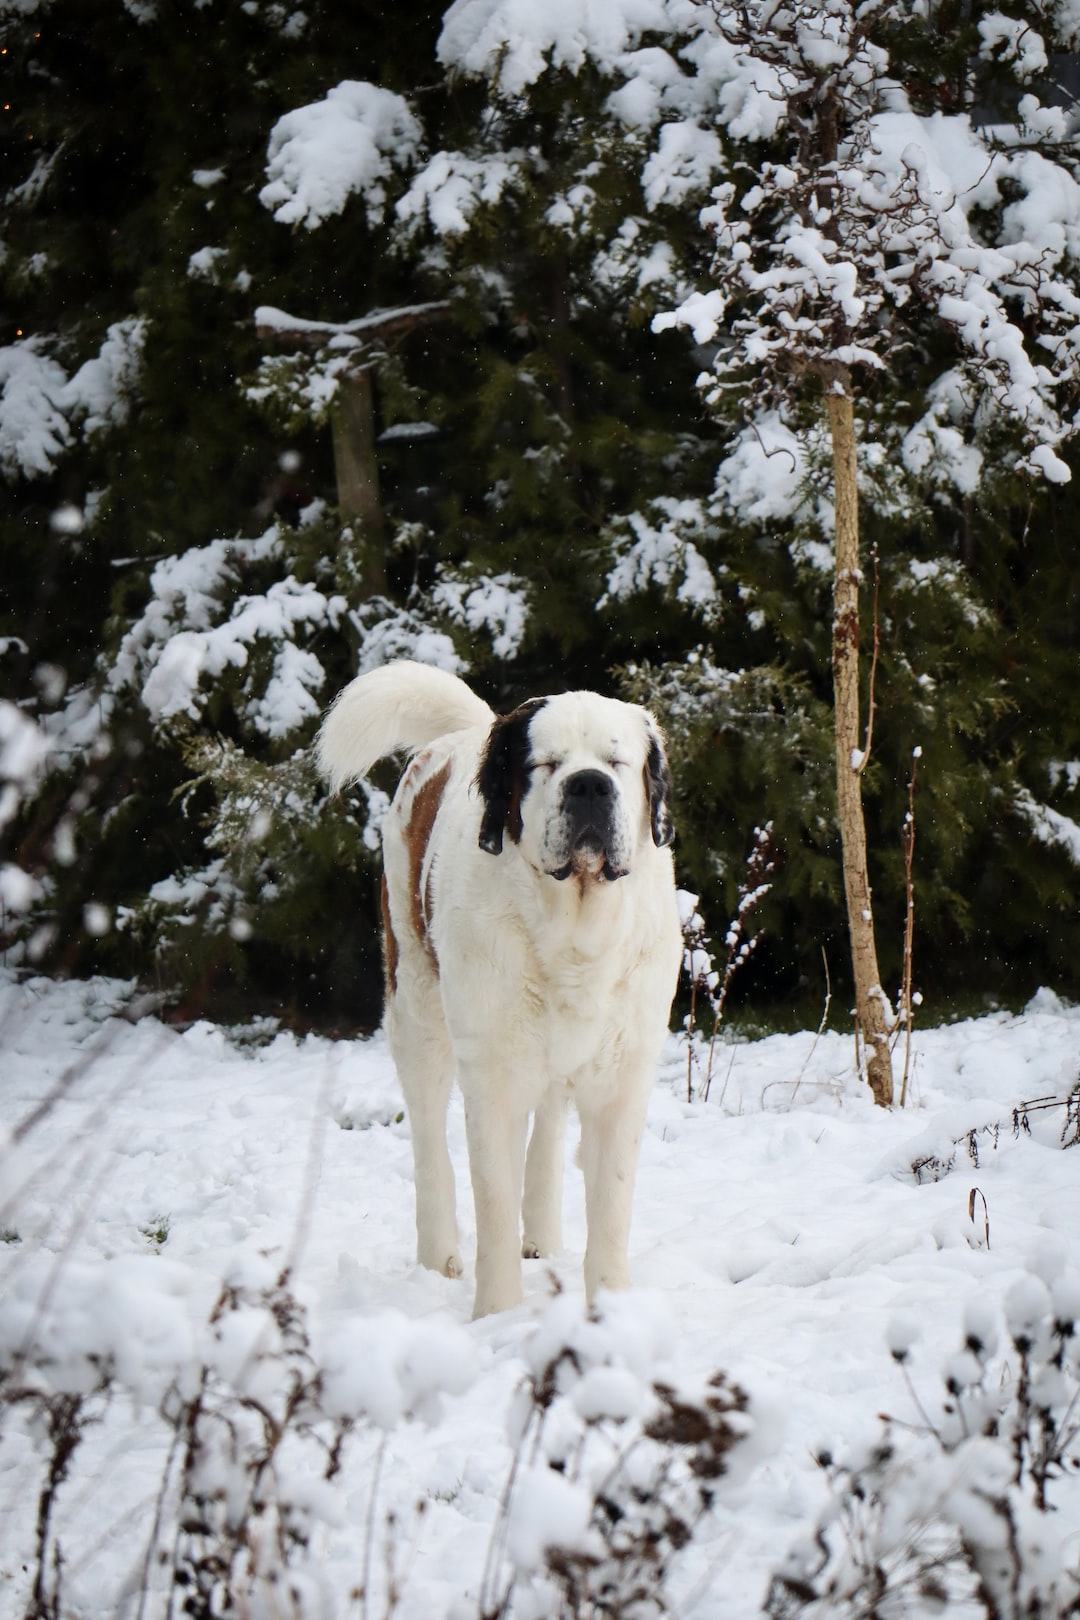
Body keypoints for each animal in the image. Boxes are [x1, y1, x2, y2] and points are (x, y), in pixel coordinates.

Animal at [317, 657, 680, 1315]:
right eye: (547, 764)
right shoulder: (492, 1072)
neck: (573, 931)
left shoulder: (624, 1073)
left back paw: (542, 1236)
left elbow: (611, 1202)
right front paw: (498, 1315)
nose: (589, 786)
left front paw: (610, 1308)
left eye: (616, 762)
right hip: (415, 1004)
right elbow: (492, 1194)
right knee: (430, 1138)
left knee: (550, 1123)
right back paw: (439, 1256)